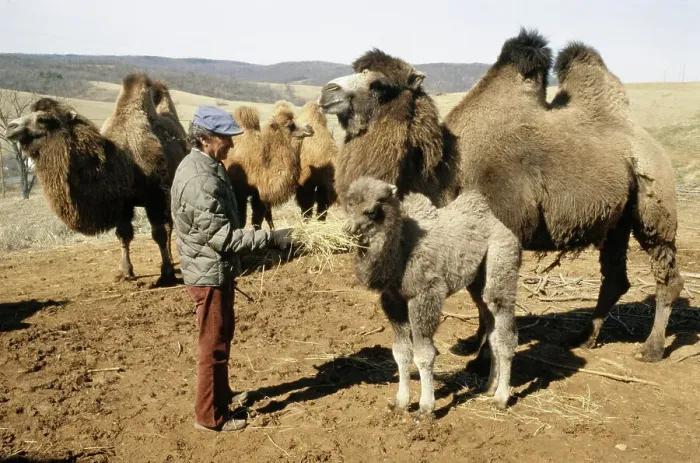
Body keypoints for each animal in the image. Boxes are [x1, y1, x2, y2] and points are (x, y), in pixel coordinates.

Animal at [223, 101, 314, 230]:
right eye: (290, 125)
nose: (310, 127)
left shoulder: (260, 195)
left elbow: (260, 219)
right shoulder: (239, 192)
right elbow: (242, 220)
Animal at [319, 29, 683, 363]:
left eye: (380, 85)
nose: (327, 91)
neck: (446, 174)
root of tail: (644, 138)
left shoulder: (504, 229)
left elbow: (486, 297)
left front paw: (483, 361)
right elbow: (477, 296)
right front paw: (472, 345)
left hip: (654, 203)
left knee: (666, 273)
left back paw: (651, 349)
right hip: (616, 220)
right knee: (615, 278)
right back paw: (584, 338)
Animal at [345, 177, 521, 416]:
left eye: (371, 211)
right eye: (347, 205)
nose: (348, 229)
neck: (403, 249)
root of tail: (499, 223)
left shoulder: (426, 294)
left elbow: (424, 354)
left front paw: (426, 408)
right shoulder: (394, 301)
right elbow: (400, 352)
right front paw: (400, 402)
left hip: (500, 263)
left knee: (505, 334)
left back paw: (501, 398)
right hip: (478, 283)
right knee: (492, 330)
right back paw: (489, 387)